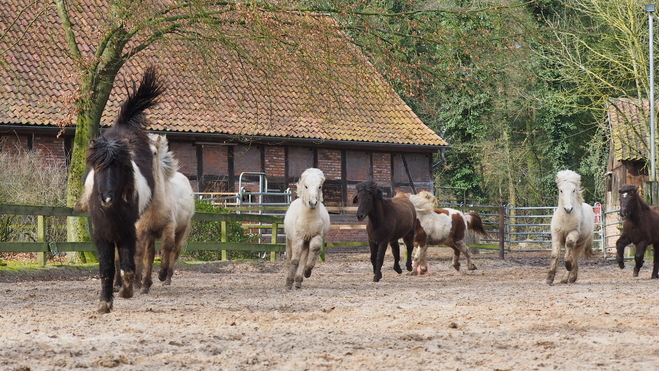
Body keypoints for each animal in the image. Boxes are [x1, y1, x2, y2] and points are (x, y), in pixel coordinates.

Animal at [73, 67, 162, 314]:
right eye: (97, 167)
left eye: (121, 168)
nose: (106, 198)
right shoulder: (102, 234)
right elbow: (106, 268)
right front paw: (105, 301)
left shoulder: (127, 231)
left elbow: (128, 267)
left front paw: (126, 290)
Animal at [134, 134, 195, 294]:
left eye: (155, 152)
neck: (155, 206)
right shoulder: (143, 230)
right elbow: (142, 253)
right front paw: (141, 283)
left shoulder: (169, 227)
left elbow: (167, 247)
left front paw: (161, 274)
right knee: (150, 254)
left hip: (181, 229)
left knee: (175, 250)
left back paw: (167, 278)